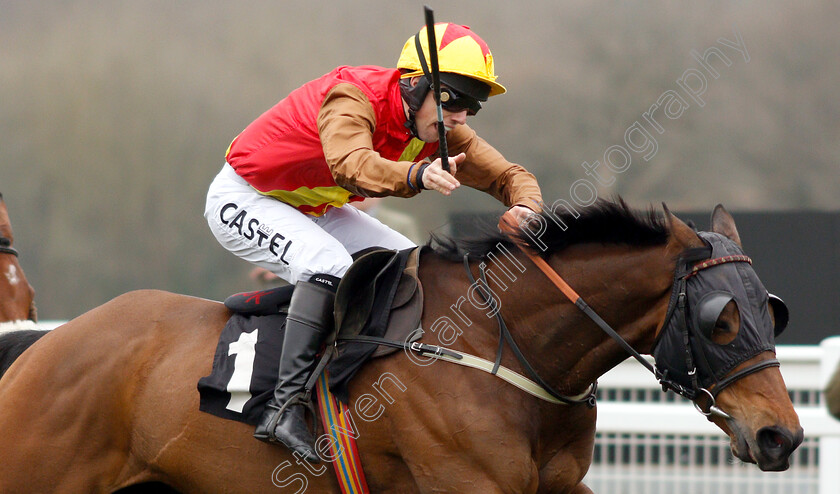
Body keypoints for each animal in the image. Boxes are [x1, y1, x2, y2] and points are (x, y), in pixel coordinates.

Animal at [0, 199, 800, 492]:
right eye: (722, 320)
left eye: (775, 313)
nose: (781, 436)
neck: (497, 346)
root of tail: (44, 344)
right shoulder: (468, 484)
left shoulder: (558, 486)